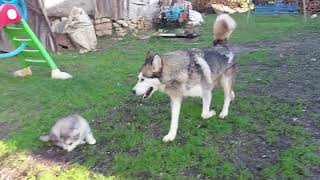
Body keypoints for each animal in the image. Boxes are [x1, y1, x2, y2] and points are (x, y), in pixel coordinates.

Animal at [132, 14, 238, 142]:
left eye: (143, 79)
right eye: (139, 78)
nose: (132, 91)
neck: (179, 73)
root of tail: (221, 45)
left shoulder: (207, 92)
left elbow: (204, 114)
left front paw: (212, 112)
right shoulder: (176, 99)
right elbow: (174, 121)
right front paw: (171, 136)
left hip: (225, 82)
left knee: (226, 97)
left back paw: (224, 112)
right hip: (218, 81)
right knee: (230, 92)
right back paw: (232, 96)